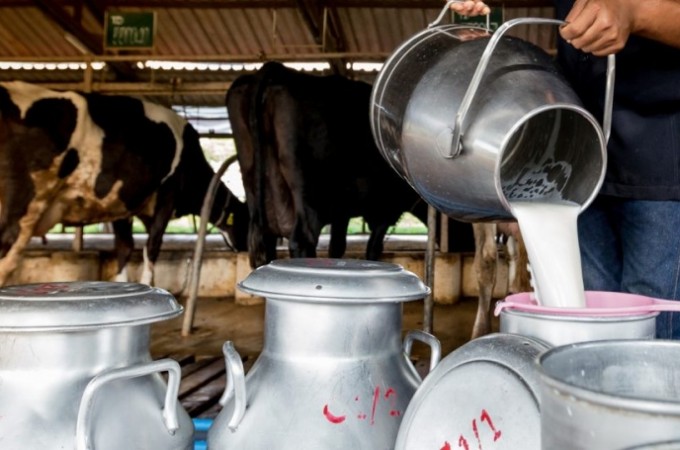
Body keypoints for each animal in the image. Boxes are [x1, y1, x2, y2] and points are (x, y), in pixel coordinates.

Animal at [0, 80, 247, 284]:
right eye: (246, 220)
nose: (244, 249)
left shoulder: (121, 203)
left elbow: (125, 247)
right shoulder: (166, 195)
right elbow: (151, 247)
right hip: (24, 206)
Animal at [227, 61, 430, 268]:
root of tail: (274, 70)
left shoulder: (343, 209)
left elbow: (337, 247)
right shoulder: (385, 208)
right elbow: (372, 248)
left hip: (255, 188)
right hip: (308, 194)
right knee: (302, 239)